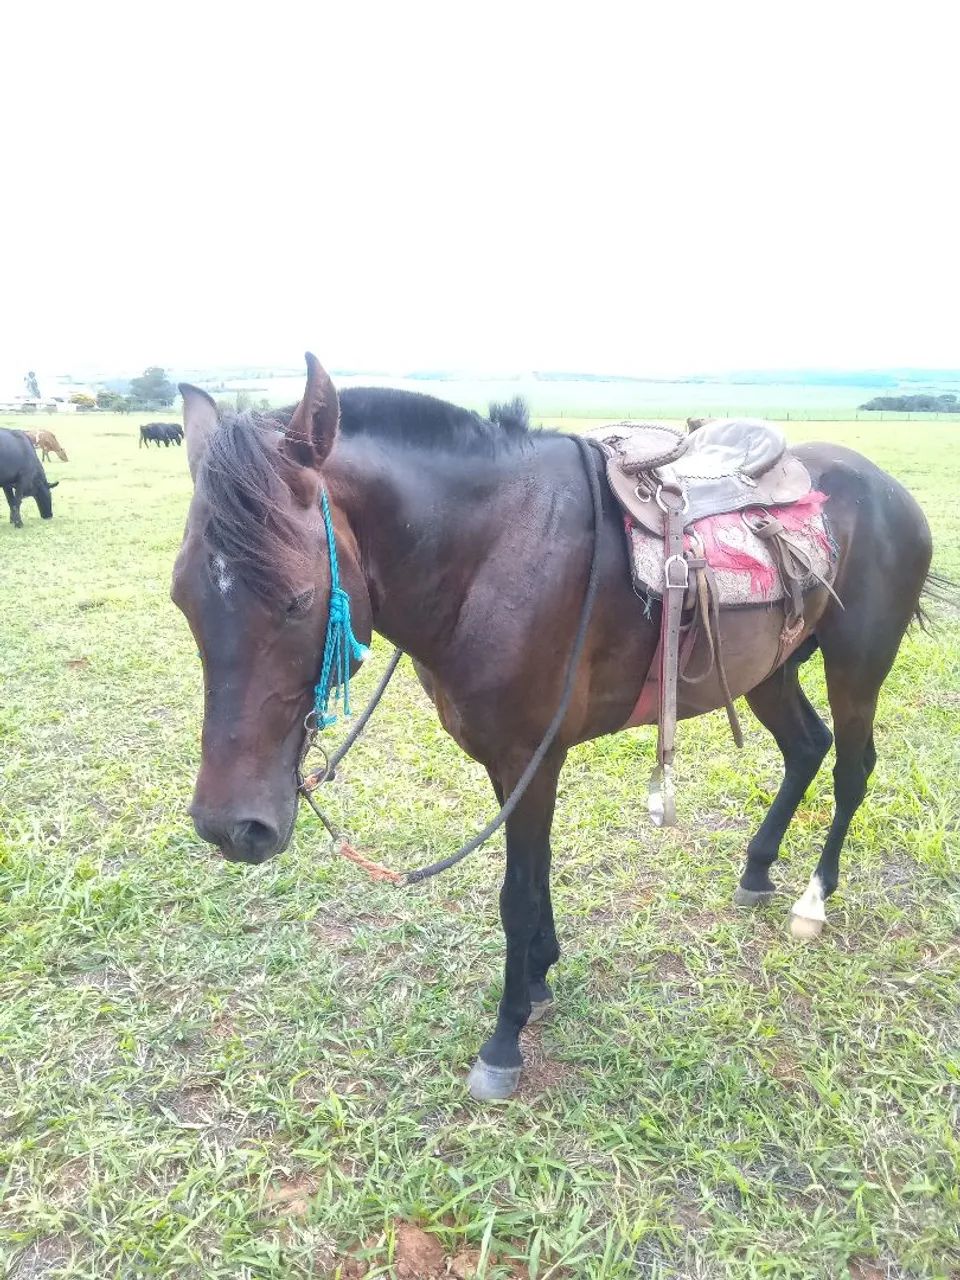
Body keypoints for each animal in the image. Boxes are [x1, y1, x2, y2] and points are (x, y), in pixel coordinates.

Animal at [172, 354, 934, 1102]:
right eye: (181, 597)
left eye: (298, 600)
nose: (229, 827)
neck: (494, 551)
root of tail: (887, 488)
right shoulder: (512, 761)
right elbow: (534, 877)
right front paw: (539, 977)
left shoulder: (530, 756)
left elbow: (515, 893)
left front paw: (505, 1037)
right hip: (767, 669)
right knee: (807, 747)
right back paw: (757, 869)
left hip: (858, 664)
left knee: (852, 768)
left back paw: (813, 900)